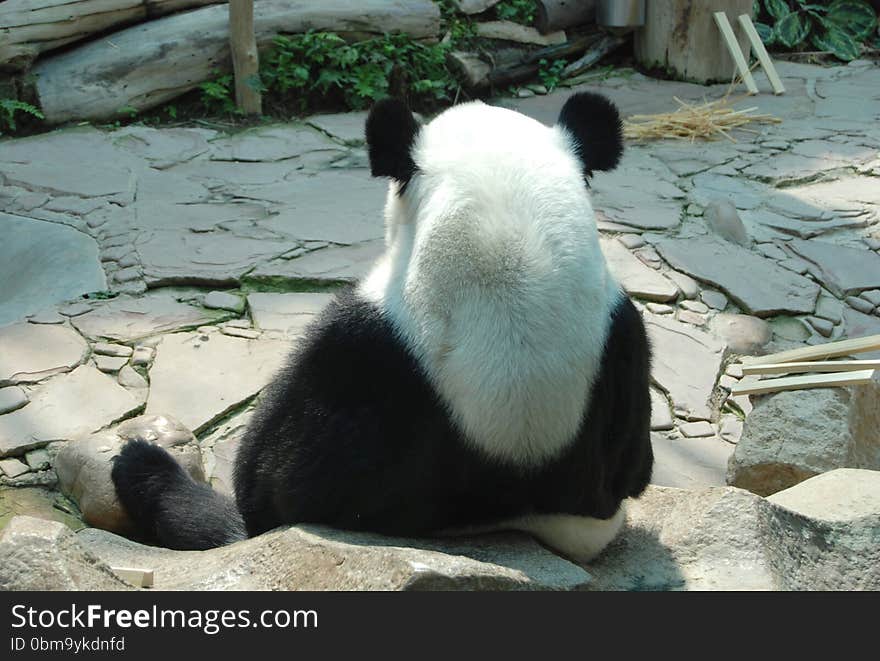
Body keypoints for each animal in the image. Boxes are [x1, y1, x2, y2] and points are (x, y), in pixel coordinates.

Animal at [111, 93, 652, 564]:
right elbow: (637, 470)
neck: (514, 257)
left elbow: (266, 487)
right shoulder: (627, 336)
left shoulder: (352, 354)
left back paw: (143, 466)